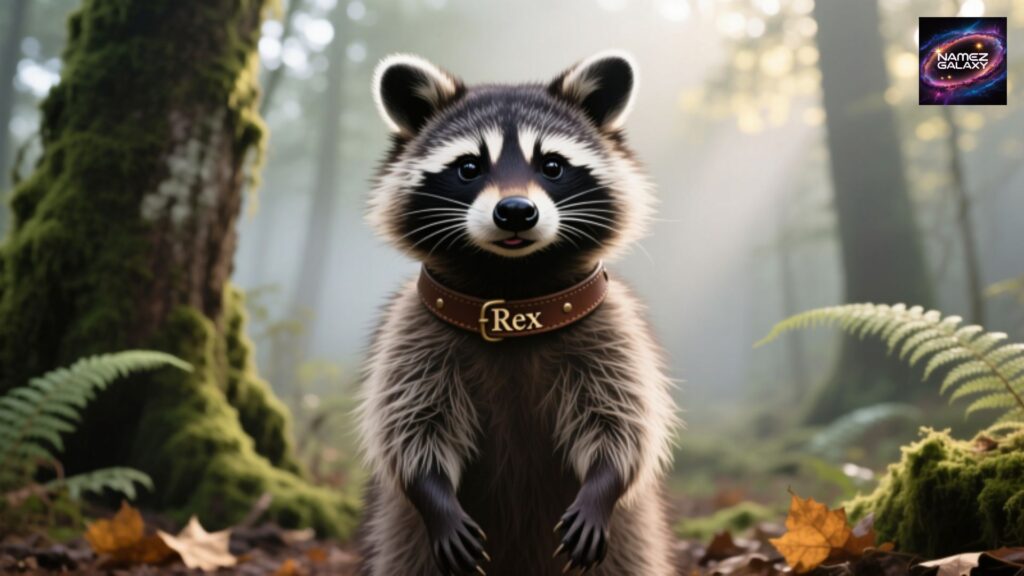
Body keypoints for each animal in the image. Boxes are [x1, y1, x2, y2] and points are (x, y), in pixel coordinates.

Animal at [358, 51, 679, 576]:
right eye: (469, 167)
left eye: (552, 165)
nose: (514, 211)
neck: (514, 295)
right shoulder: (415, 334)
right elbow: (410, 424)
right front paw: (433, 495)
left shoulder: (608, 328)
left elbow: (623, 419)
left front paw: (604, 483)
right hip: (404, 539)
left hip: (630, 540)